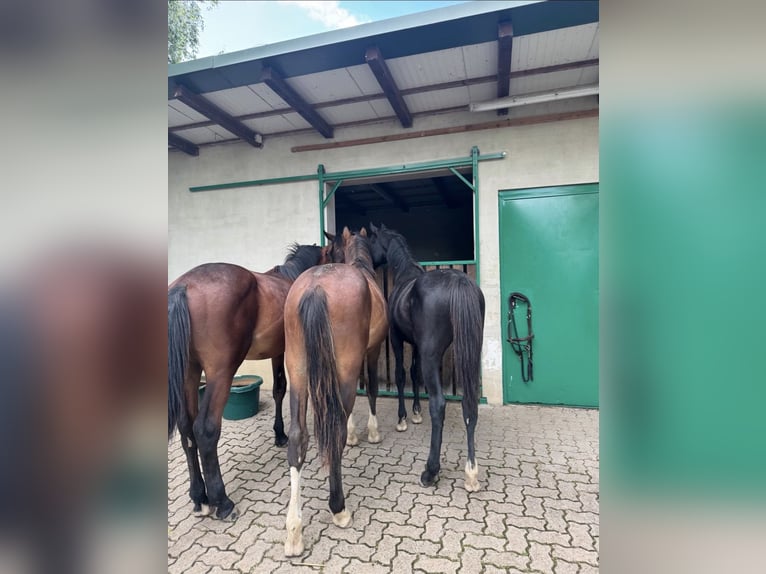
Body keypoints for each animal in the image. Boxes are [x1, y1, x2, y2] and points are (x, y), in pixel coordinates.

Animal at [167, 243, 329, 521]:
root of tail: (184, 287)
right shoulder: (281, 352)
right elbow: (279, 389)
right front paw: (280, 434)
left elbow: (278, 391)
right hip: (220, 372)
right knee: (205, 430)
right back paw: (222, 502)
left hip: (190, 371)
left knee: (187, 429)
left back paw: (199, 497)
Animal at [282, 227, 387, 557]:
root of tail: (316, 287)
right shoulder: (371, 352)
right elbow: (371, 390)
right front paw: (371, 432)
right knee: (335, 428)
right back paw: (339, 508)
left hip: (297, 374)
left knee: (298, 438)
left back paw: (294, 531)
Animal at [367, 223, 486, 491]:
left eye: (372, 240)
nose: (370, 260)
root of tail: (458, 281)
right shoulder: (416, 346)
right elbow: (414, 373)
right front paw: (416, 412)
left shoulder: (398, 339)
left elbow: (402, 375)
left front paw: (403, 418)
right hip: (470, 354)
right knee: (469, 405)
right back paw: (471, 473)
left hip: (432, 355)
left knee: (439, 404)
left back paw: (430, 472)